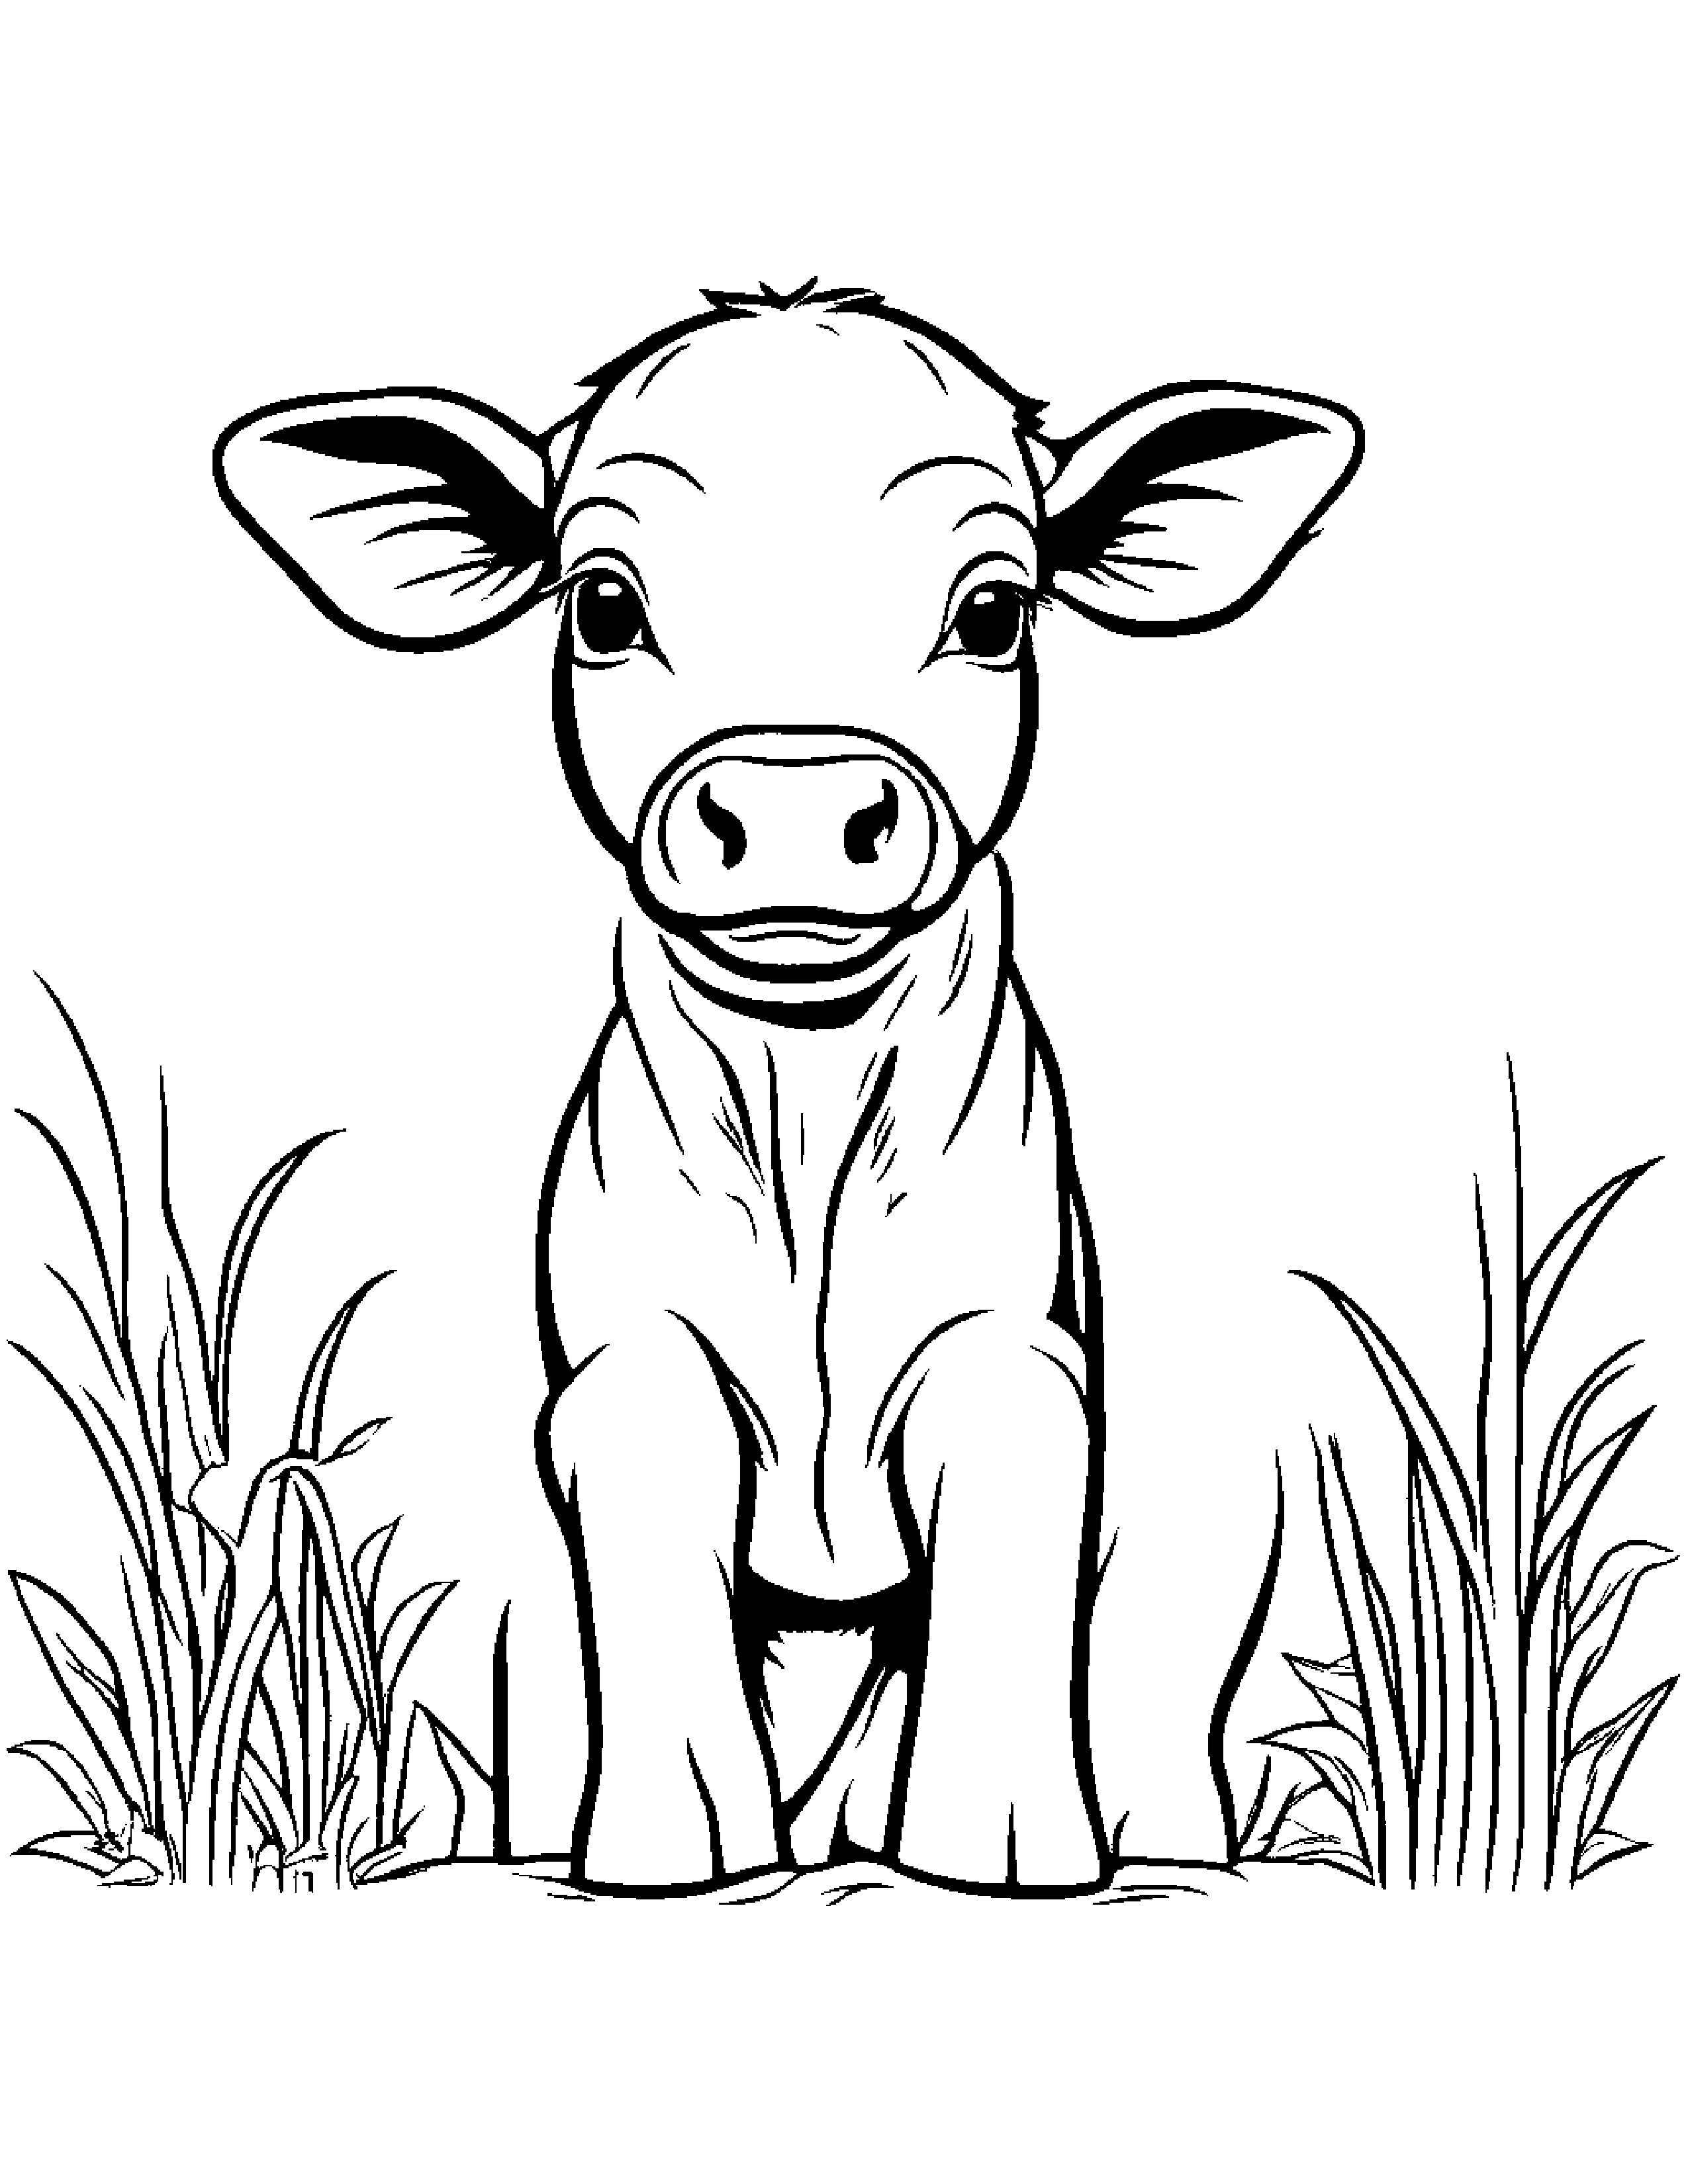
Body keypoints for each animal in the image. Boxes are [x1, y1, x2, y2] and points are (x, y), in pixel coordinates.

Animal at [215, 280, 1361, 1893]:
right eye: (604, 605)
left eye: (992, 611)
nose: (801, 808)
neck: (806, 1100)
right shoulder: (616, 1366)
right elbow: (649, 1444)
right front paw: (673, 1832)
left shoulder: (1017, 1347)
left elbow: (1013, 1457)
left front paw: (1000, 1831)